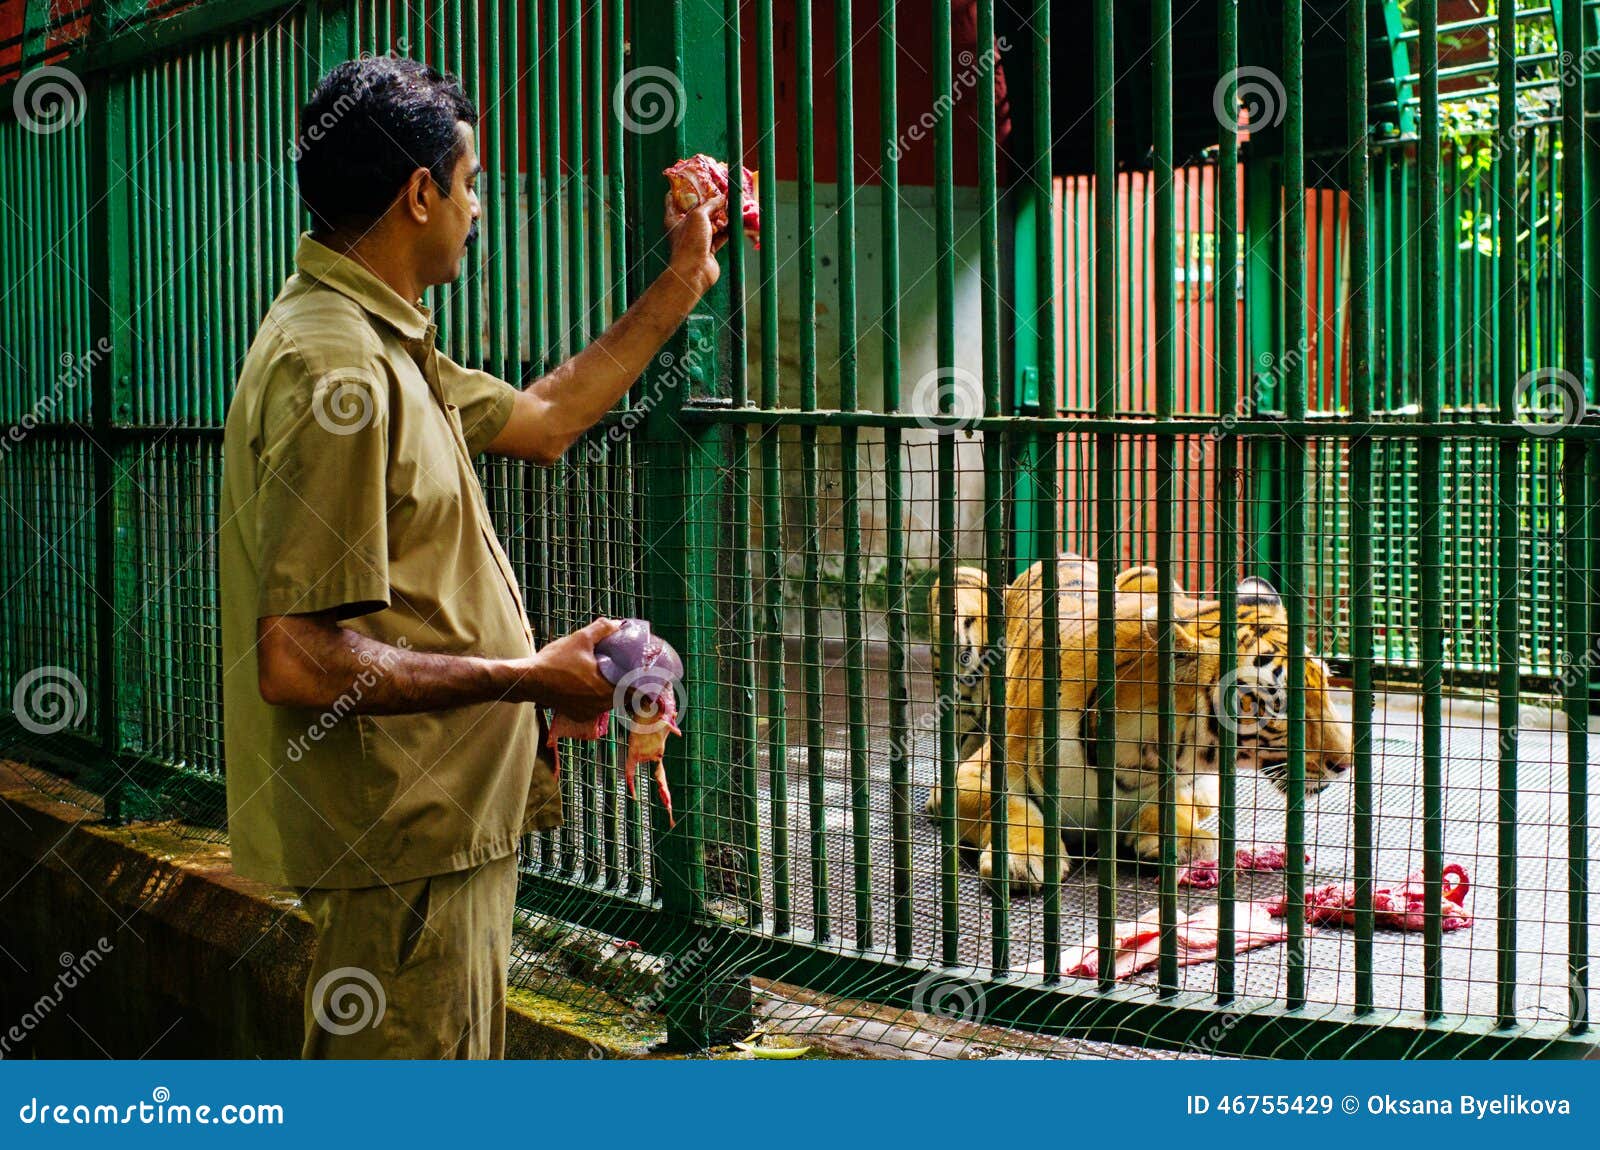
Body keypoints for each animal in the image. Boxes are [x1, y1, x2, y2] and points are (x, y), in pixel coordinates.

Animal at [928, 553, 1350, 895]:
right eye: (1278, 705)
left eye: (1327, 684)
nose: (1345, 764)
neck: (1139, 761)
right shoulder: (968, 777)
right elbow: (1008, 805)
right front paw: (1022, 859)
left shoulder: (1201, 785)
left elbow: (1175, 802)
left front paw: (1185, 840)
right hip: (959, 589)